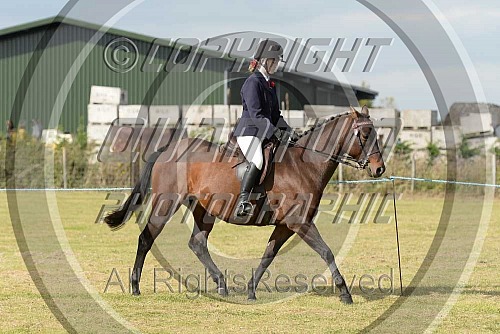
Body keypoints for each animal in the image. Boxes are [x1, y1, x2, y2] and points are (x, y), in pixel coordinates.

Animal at [104, 105, 386, 304]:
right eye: (364, 134)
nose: (379, 169)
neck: (303, 165)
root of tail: (166, 149)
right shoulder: (300, 223)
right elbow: (327, 252)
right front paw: (345, 293)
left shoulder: (286, 225)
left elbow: (268, 255)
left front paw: (251, 291)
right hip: (166, 203)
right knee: (146, 238)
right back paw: (135, 287)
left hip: (203, 209)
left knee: (197, 243)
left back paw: (222, 285)